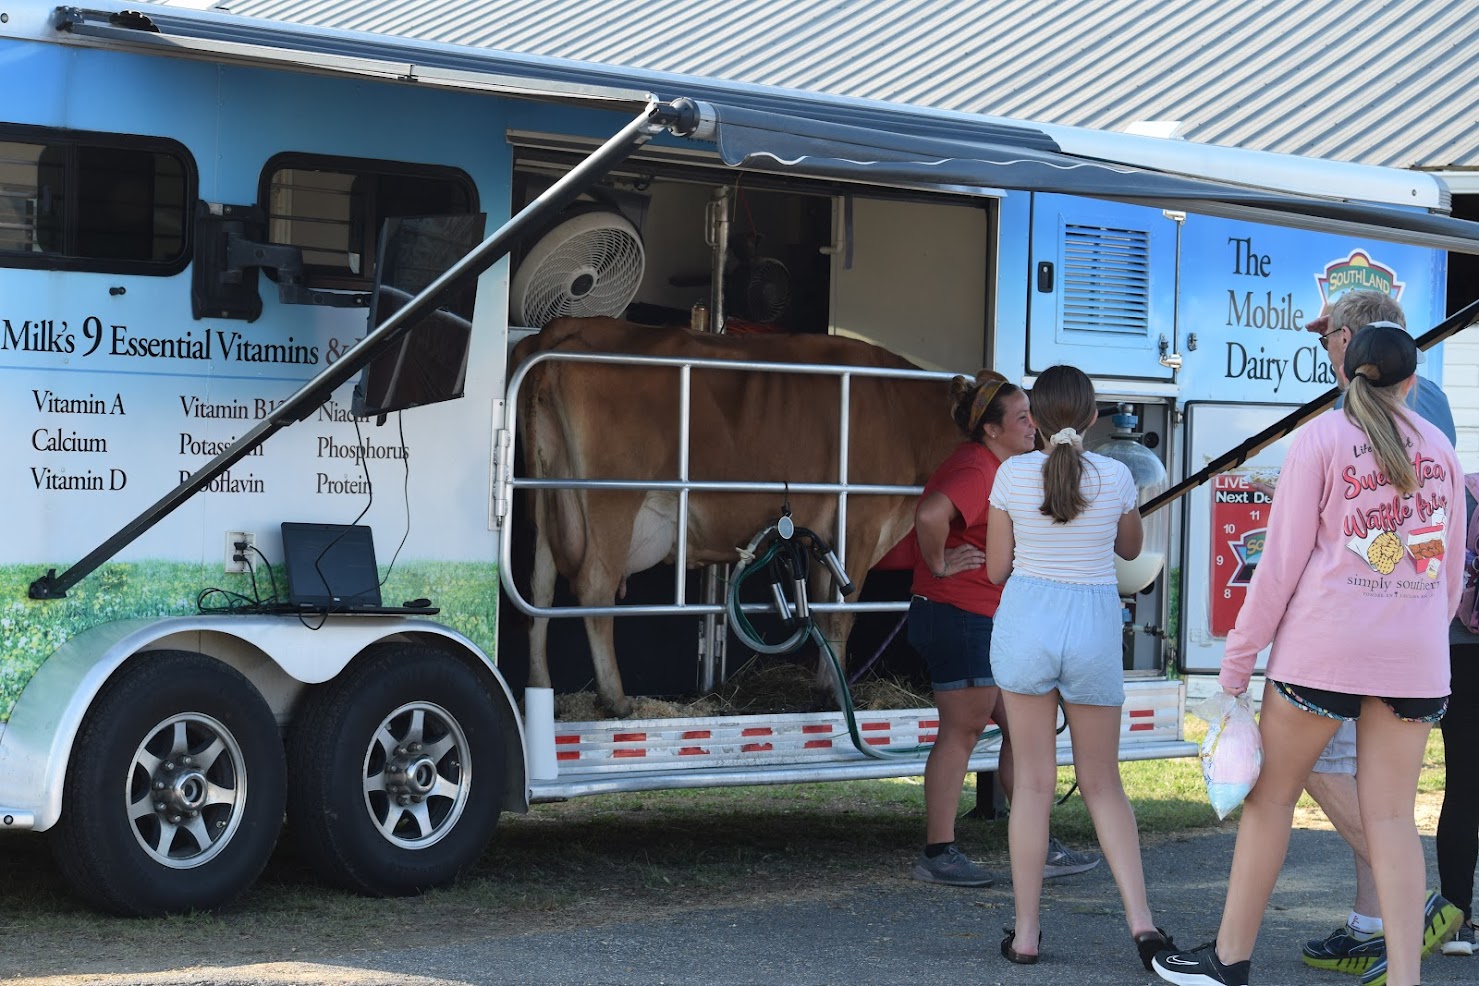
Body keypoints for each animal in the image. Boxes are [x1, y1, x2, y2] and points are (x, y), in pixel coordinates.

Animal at [514, 317, 964, 718]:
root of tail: (568, 326)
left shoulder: (825, 534)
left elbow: (821, 609)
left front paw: (823, 688)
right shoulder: (860, 522)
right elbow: (842, 612)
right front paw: (838, 695)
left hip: (548, 494)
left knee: (539, 589)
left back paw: (539, 686)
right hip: (612, 496)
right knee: (594, 585)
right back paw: (615, 699)